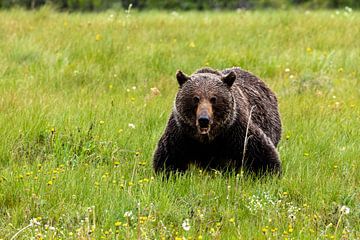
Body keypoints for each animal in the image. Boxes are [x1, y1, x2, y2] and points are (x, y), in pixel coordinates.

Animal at [152, 66, 282, 175]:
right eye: (195, 98)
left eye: (213, 98)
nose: (204, 119)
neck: (208, 139)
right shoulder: (181, 133)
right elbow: (168, 157)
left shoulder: (235, 129)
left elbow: (261, 152)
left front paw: (269, 173)